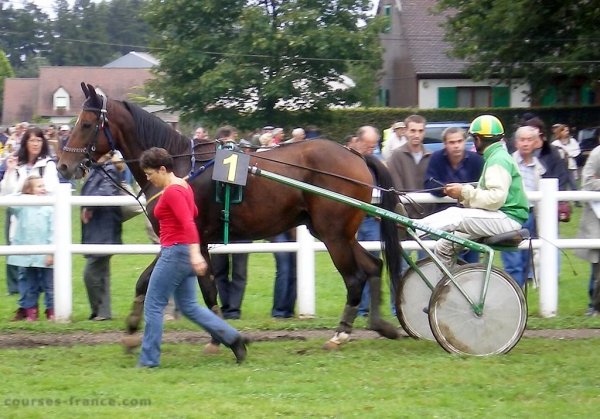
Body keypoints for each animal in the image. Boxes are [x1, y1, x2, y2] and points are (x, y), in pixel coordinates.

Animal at [58, 83, 404, 352]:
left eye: (86, 123)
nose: (62, 165)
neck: (179, 166)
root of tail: (356, 154)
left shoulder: (188, 238)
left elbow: (179, 285)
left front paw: (208, 336)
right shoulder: (189, 242)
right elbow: (178, 283)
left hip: (333, 234)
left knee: (355, 277)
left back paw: (341, 333)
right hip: (336, 233)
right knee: (373, 266)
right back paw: (380, 324)